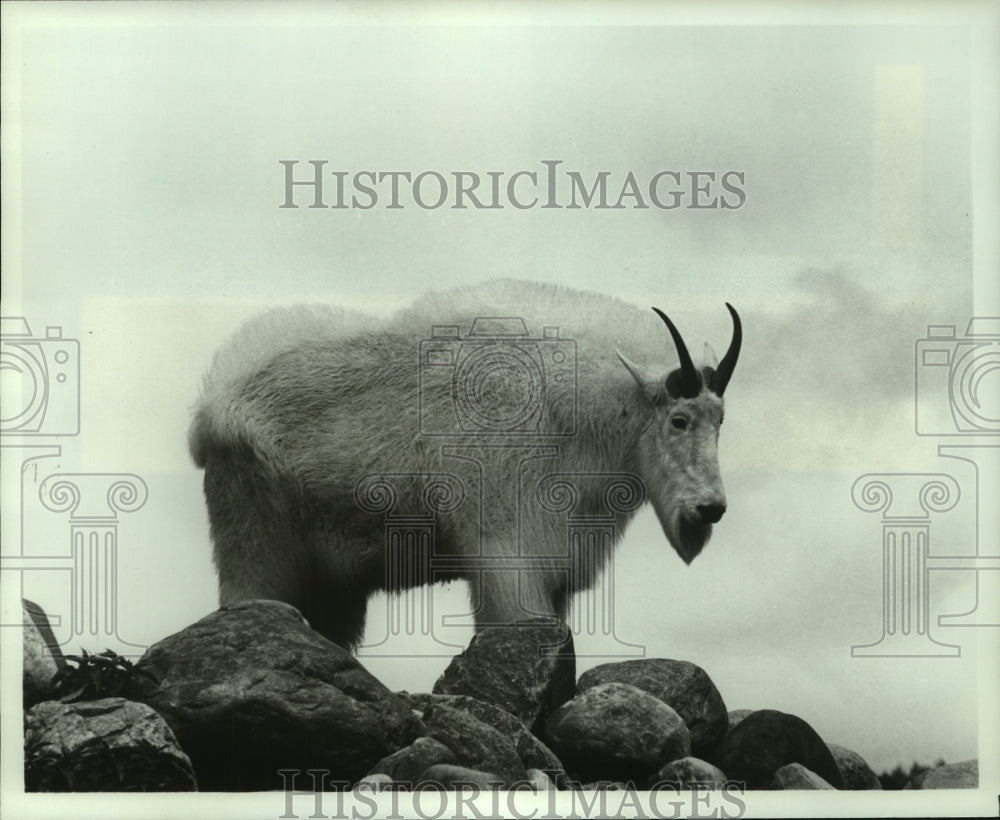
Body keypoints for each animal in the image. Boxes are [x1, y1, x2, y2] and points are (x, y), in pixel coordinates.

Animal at [189, 278, 736, 652]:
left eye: (721, 420)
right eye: (680, 419)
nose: (710, 509)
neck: (569, 414)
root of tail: (211, 406)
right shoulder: (505, 555)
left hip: (333, 584)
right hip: (257, 544)